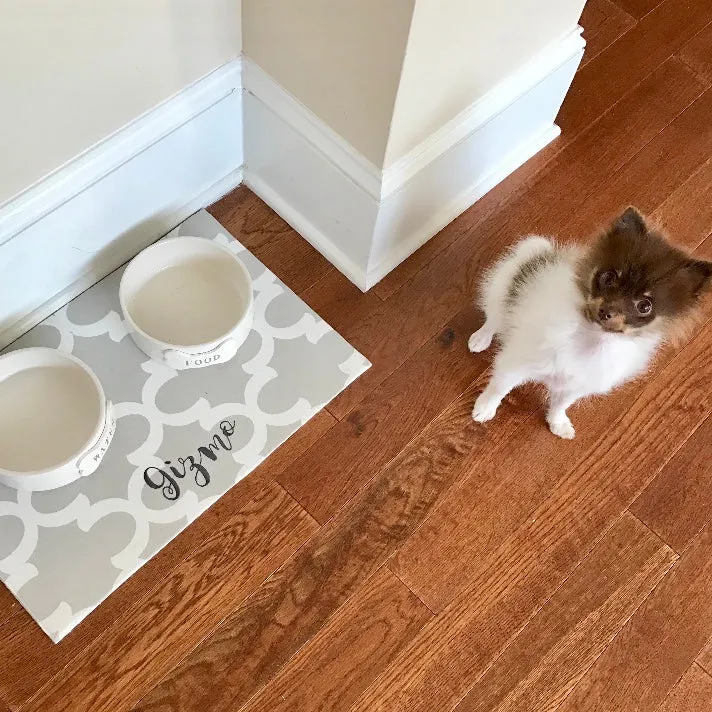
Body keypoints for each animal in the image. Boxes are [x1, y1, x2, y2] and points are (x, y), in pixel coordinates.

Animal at [468, 207, 712, 440]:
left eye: (645, 306)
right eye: (608, 277)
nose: (606, 312)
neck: (590, 337)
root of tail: (539, 254)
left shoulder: (579, 383)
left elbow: (561, 404)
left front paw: (558, 423)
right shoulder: (517, 362)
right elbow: (500, 387)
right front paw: (485, 408)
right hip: (500, 291)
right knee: (494, 318)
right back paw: (481, 338)